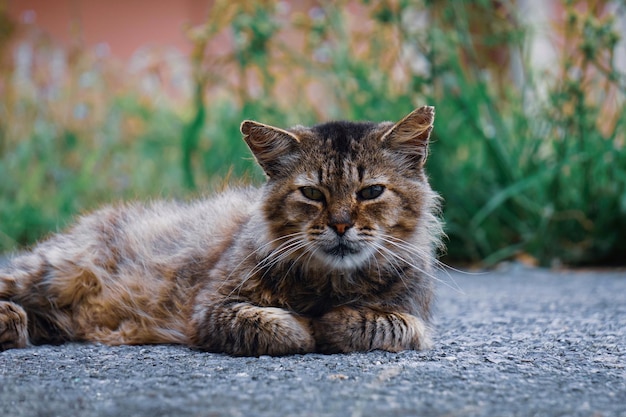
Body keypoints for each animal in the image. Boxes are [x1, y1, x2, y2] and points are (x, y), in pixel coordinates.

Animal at [0, 105, 442, 356]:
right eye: (312, 193)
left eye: (371, 192)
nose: (340, 224)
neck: (331, 284)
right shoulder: (210, 309)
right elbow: (282, 328)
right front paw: (308, 327)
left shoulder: (413, 316)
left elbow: (379, 323)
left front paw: (329, 324)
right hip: (52, 271)